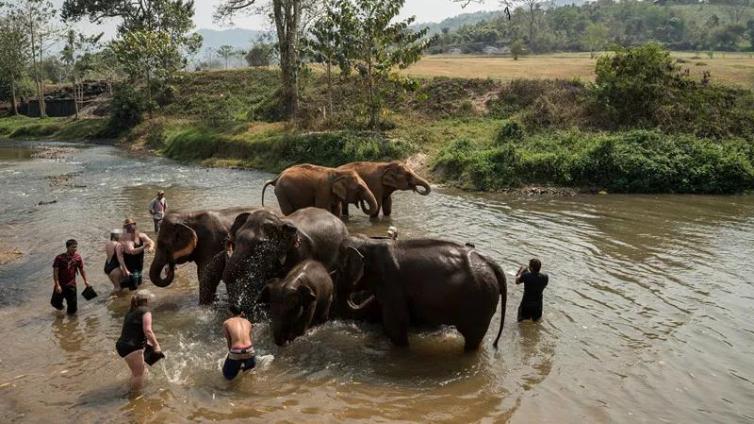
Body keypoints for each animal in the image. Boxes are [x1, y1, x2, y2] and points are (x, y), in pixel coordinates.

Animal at [340, 235, 506, 352]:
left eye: (339, 268)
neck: (370, 243)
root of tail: (491, 262)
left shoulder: (392, 284)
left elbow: (395, 325)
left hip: (480, 300)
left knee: (472, 337)